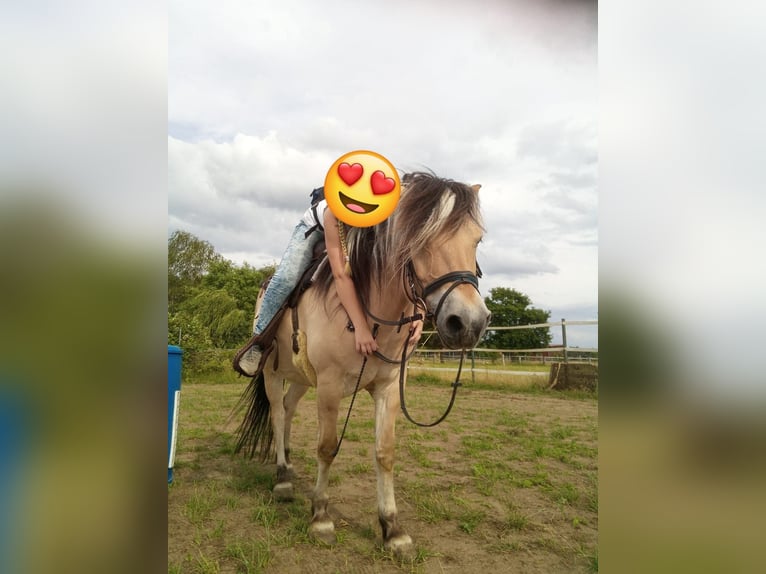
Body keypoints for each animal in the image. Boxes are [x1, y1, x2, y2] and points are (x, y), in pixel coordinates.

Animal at [234, 171, 491, 559]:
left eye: (476, 240)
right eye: (419, 240)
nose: (469, 323)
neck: (370, 313)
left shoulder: (388, 388)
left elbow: (385, 452)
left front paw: (393, 529)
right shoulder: (328, 385)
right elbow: (327, 447)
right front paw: (321, 518)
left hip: (301, 378)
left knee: (289, 411)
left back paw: (289, 465)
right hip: (272, 373)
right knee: (278, 415)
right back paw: (282, 479)